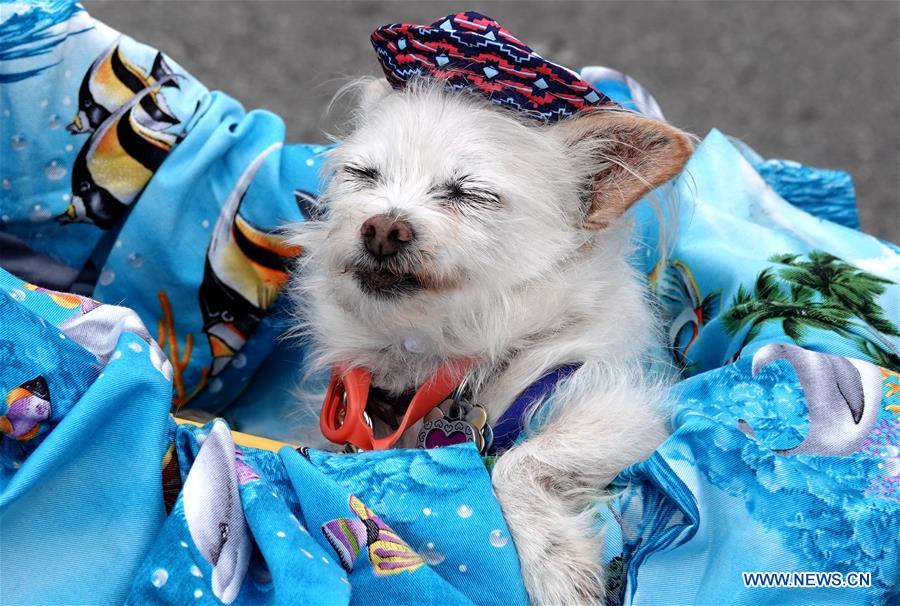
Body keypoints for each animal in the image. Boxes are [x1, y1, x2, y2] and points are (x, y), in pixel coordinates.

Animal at [288, 78, 688, 604]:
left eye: (469, 194)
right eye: (362, 174)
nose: (382, 229)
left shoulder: (627, 411)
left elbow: (517, 462)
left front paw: (557, 567)